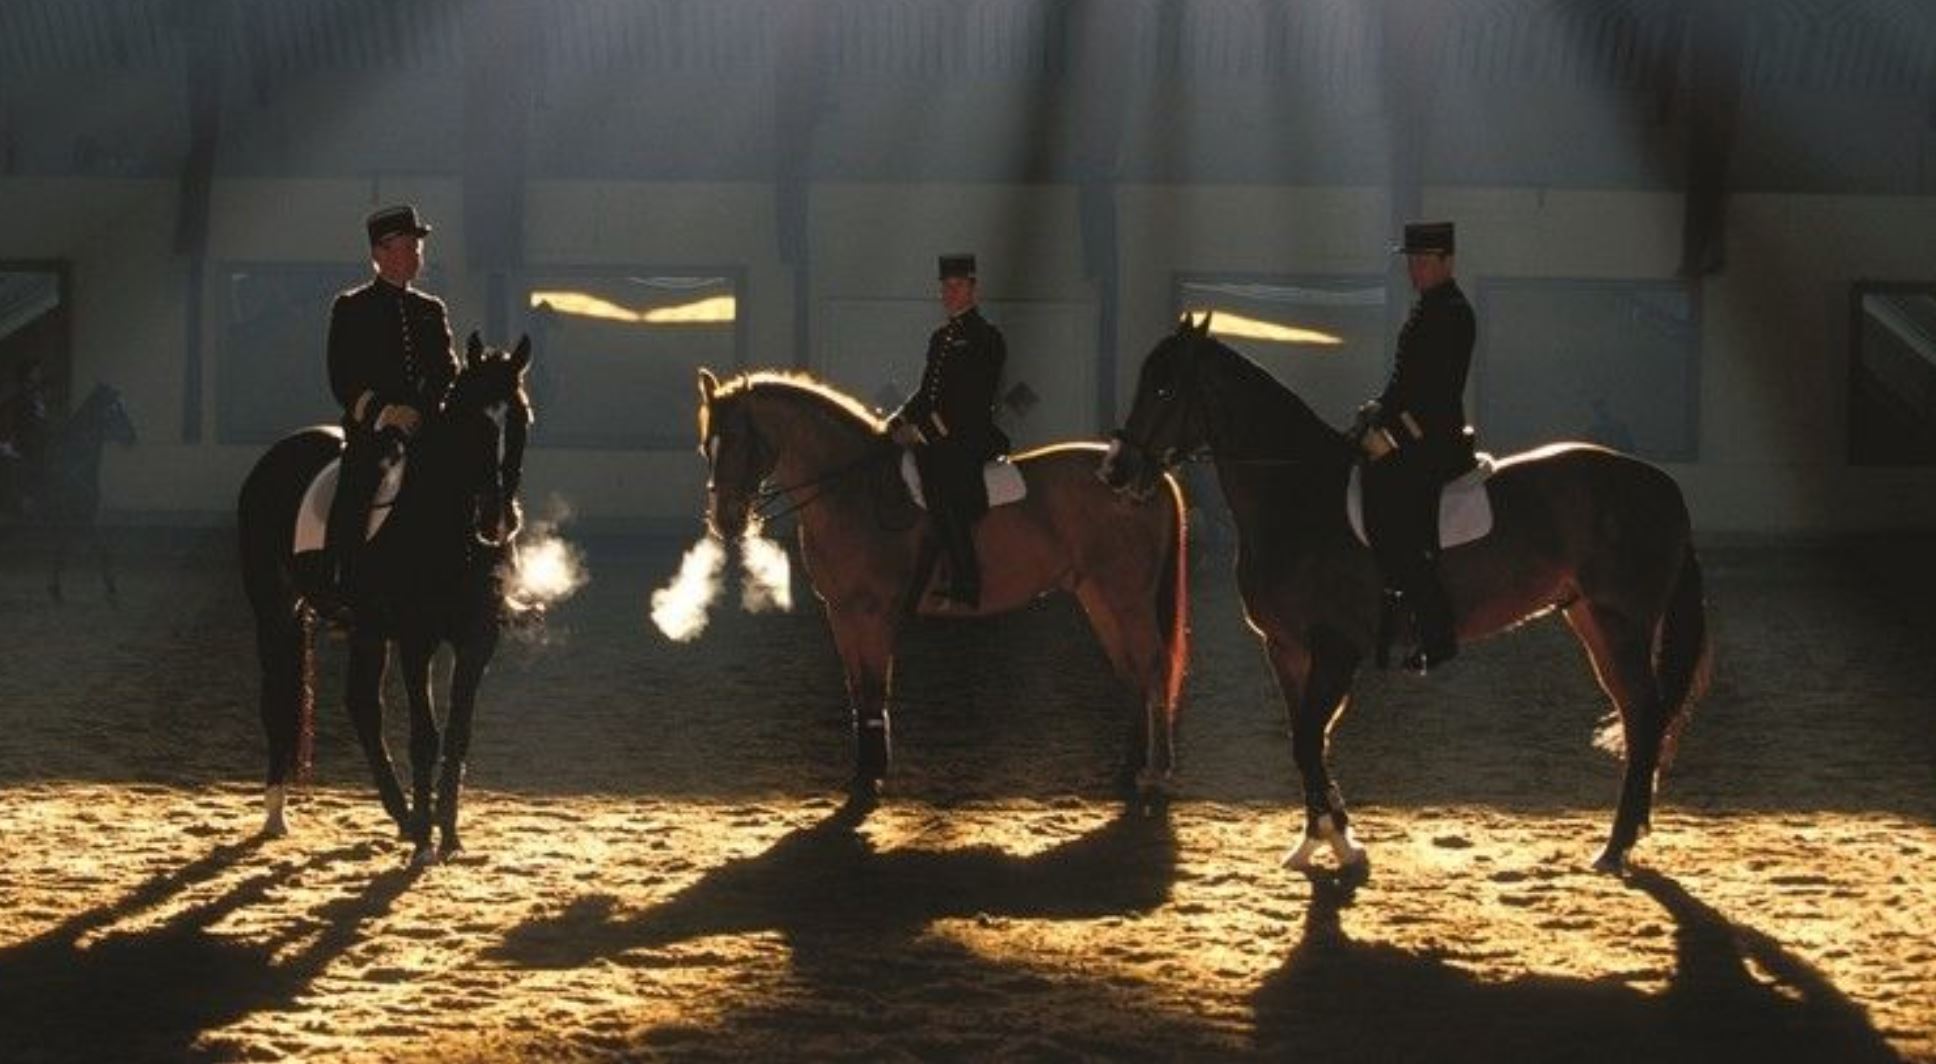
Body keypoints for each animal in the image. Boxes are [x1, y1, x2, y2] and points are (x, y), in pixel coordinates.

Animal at [240, 338, 538, 862]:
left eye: (521, 419)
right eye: (473, 425)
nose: (496, 522)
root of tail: (275, 458)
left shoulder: (477, 641)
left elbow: (457, 736)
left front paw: (447, 833)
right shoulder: (417, 640)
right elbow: (425, 737)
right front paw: (425, 842)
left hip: (367, 628)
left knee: (363, 706)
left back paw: (401, 815)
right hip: (276, 610)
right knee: (278, 699)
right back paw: (277, 815)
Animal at [689, 371, 1184, 797]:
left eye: (739, 442)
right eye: (706, 447)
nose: (726, 523)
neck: (852, 491)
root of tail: (1145, 478)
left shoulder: (874, 612)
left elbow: (875, 685)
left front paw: (871, 775)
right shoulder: (841, 611)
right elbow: (857, 689)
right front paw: (864, 771)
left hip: (1127, 598)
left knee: (1153, 668)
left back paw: (1157, 773)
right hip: (1099, 596)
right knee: (1132, 671)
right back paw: (1128, 770)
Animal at [1107, 319, 1711, 874]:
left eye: (1164, 388)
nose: (1117, 469)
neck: (1299, 496)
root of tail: (1660, 484)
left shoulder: (1336, 648)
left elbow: (1308, 741)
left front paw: (1342, 843)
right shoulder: (1285, 648)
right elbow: (1307, 742)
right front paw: (1319, 838)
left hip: (1621, 621)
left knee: (1645, 714)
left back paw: (1615, 847)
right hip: (1592, 618)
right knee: (1637, 714)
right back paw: (1626, 838)